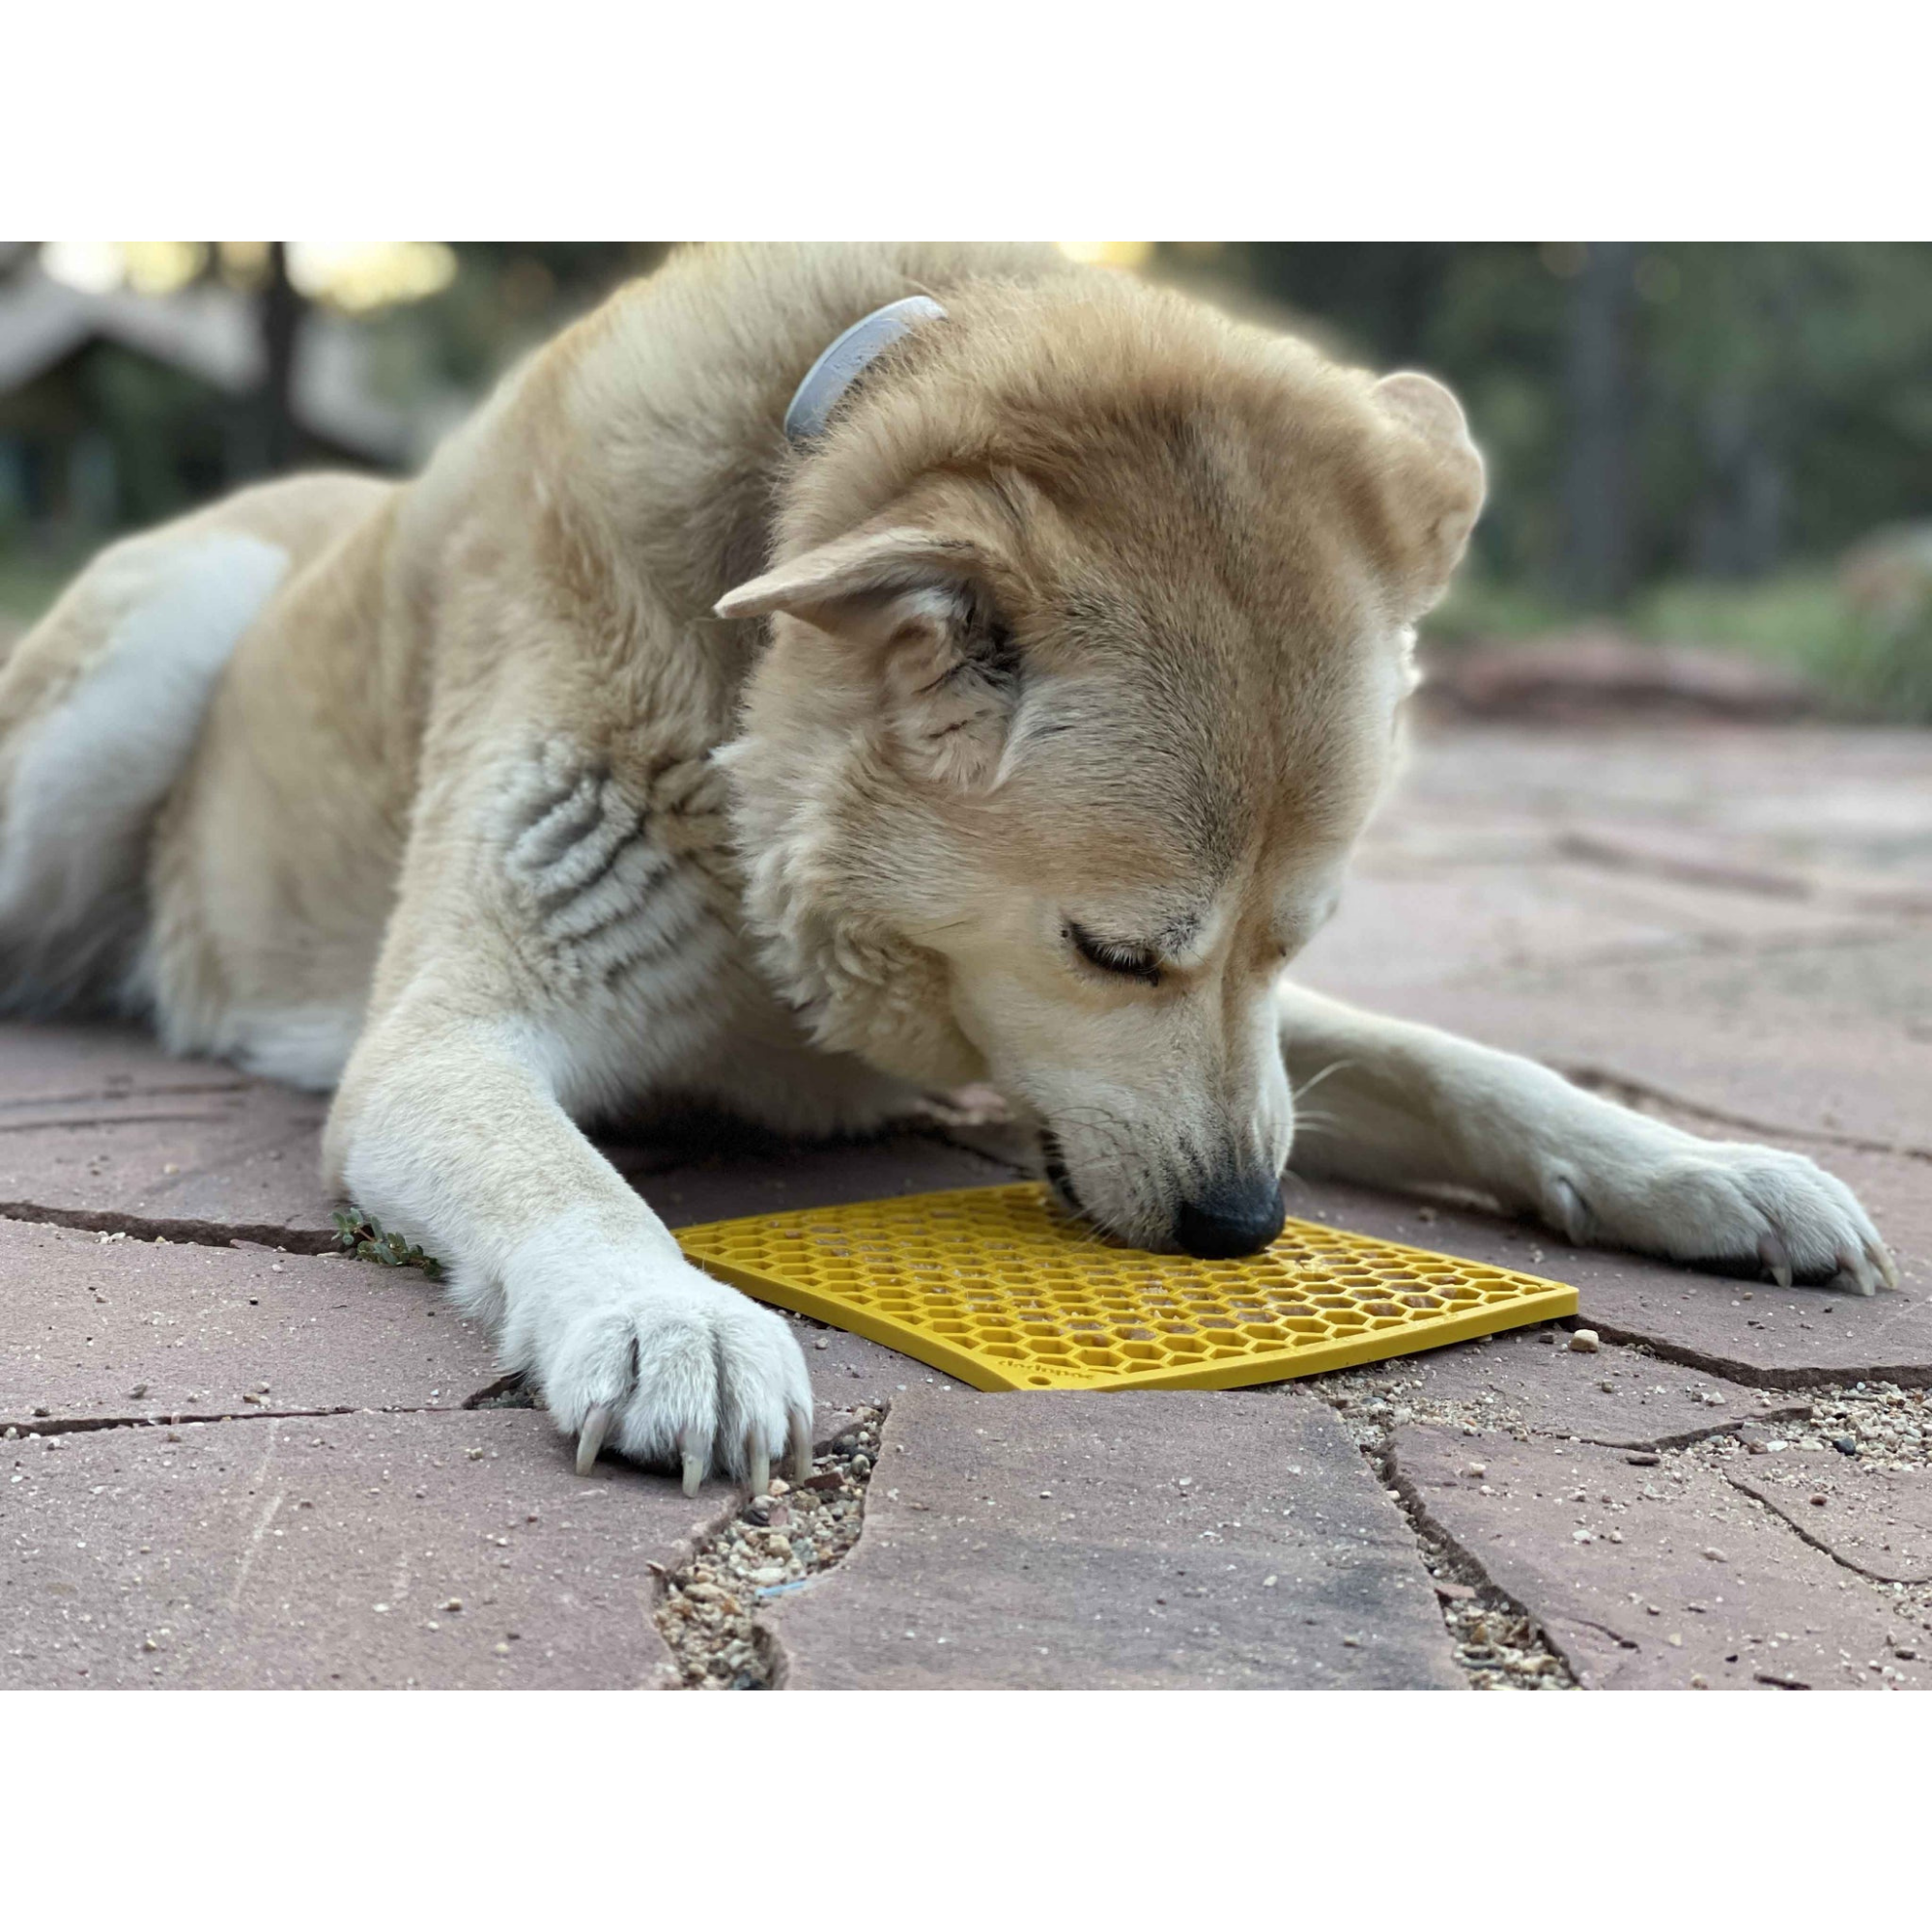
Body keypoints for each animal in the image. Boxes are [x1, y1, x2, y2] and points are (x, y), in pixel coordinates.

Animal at [0, 242, 1886, 1492]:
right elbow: (567, 1181)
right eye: (1114, 952)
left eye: (1293, 941)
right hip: (153, 660)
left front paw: (1698, 1167)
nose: (1245, 1228)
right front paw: (671, 1317)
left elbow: (1463, 1064)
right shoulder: (444, 1041)